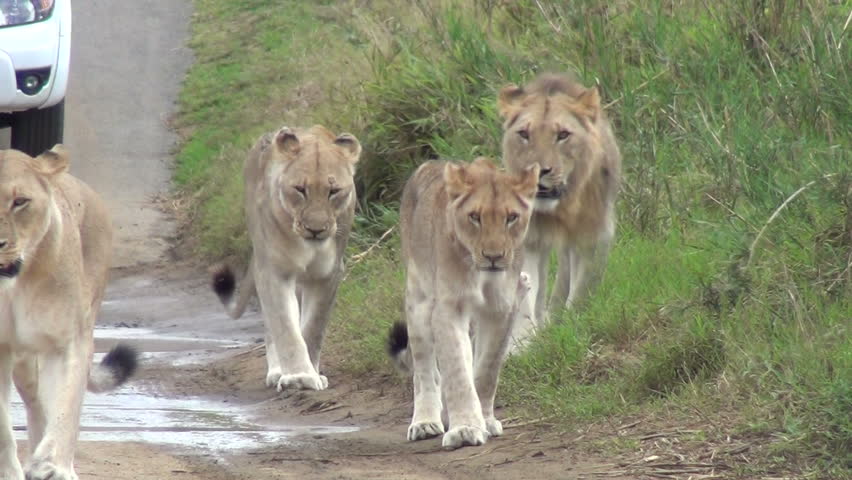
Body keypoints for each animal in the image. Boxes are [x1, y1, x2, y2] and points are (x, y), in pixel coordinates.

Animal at [0, 147, 138, 480]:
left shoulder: (66, 343)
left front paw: (51, 466)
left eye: (20, 201)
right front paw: (12, 471)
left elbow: (65, 409)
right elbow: (2, 428)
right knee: (35, 405)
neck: (15, 285)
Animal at [212, 125, 360, 392]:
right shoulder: (273, 271)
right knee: (271, 326)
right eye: (300, 190)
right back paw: (277, 371)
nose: (315, 229)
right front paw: (298, 377)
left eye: (334, 191)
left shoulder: (328, 274)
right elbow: (285, 326)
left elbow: (313, 328)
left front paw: (310, 373)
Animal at [387, 158, 538, 449]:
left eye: (511, 217)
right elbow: (457, 371)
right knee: (424, 370)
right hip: (418, 302)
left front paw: (484, 421)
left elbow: (487, 370)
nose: (493, 257)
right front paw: (465, 429)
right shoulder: (448, 309)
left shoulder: (501, 309)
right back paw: (425, 422)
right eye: (475, 217)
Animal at [497, 73, 622, 346]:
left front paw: (572, 328)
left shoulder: (594, 236)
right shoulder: (529, 240)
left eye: (563, 134)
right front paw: (525, 343)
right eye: (524, 133)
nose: (539, 171)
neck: (560, 209)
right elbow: (528, 295)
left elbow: (581, 288)